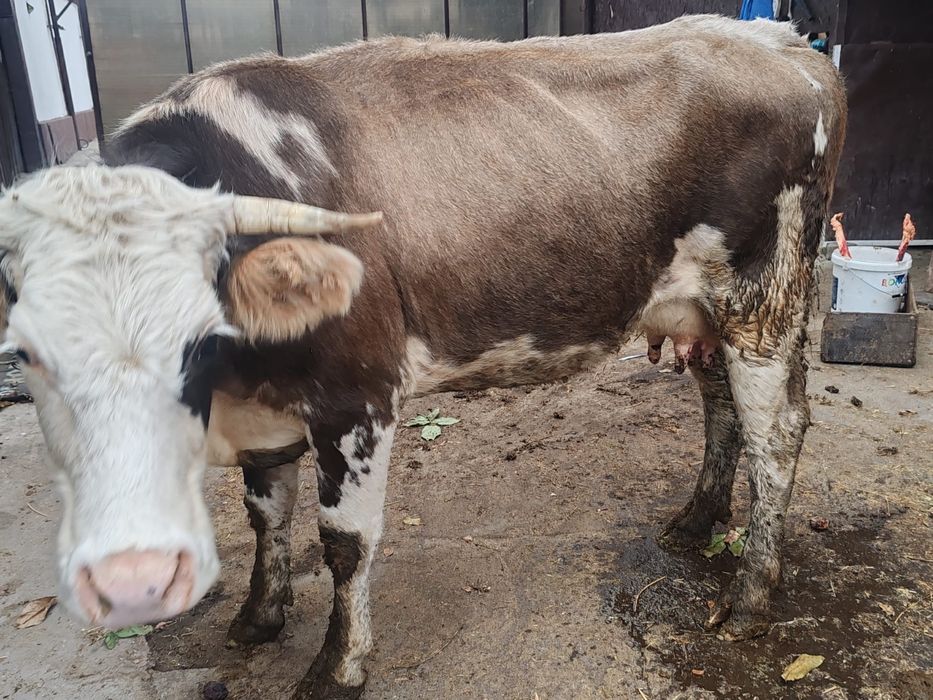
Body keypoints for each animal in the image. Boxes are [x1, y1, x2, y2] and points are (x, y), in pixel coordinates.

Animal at [0, 15, 845, 699]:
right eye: (32, 355)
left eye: (194, 325)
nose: (132, 579)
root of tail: (780, 42)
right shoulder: (271, 413)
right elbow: (266, 514)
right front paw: (258, 616)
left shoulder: (355, 395)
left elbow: (342, 544)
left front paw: (337, 667)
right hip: (702, 310)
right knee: (719, 405)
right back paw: (697, 520)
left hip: (764, 299)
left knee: (777, 434)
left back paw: (748, 600)